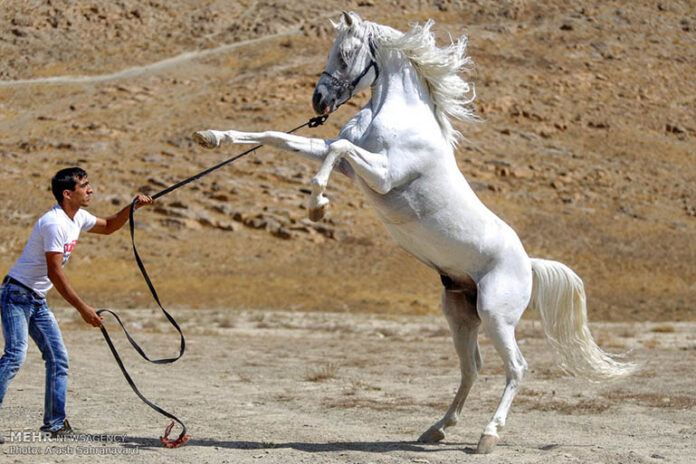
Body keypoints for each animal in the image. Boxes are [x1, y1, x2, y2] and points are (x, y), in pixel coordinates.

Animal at [193, 11, 635, 454]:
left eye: (346, 52)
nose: (319, 101)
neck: (397, 114)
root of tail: (529, 263)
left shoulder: (382, 173)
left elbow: (335, 151)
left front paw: (317, 204)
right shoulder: (347, 160)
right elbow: (281, 138)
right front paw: (211, 136)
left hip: (496, 314)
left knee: (517, 368)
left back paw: (487, 436)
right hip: (460, 316)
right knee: (472, 368)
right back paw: (436, 429)